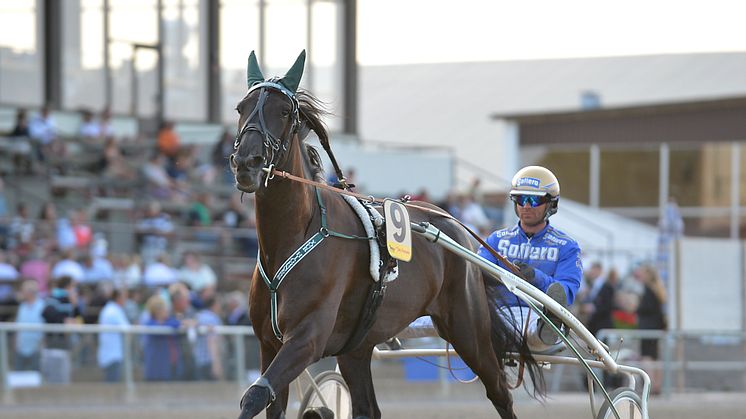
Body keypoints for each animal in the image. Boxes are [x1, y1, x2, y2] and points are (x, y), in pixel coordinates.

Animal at [228, 50, 540, 419]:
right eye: (241, 108)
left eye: (284, 111)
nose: (247, 162)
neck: (291, 239)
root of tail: (452, 223)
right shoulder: (268, 343)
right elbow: (266, 399)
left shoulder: (306, 338)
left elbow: (255, 395)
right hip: (356, 347)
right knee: (368, 408)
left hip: (468, 329)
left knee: (499, 393)